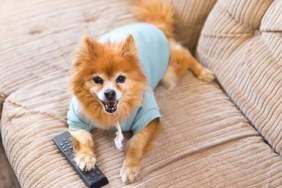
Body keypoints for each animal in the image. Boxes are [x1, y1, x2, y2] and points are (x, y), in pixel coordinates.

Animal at [67, 0, 214, 184]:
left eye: (121, 79)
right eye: (98, 80)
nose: (109, 93)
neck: (112, 115)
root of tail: (154, 25)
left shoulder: (148, 119)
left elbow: (135, 143)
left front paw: (130, 167)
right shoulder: (76, 120)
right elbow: (84, 139)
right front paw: (86, 157)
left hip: (171, 70)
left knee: (186, 53)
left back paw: (204, 72)